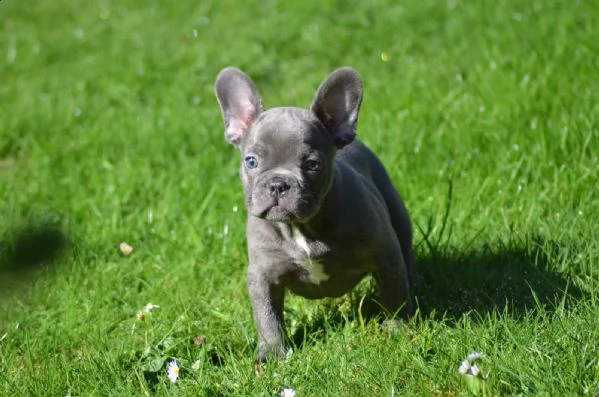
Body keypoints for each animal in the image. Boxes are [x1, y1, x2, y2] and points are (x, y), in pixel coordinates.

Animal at [216, 66, 418, 360]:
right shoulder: (263, 275)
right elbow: (267, 316)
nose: (278, 184)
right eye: (251, 161)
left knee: (406, 254)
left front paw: (397, 328)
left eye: (312, 164)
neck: (301, 227)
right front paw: (272, 353)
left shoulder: (385, 253)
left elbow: (393, 293)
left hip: (398, 214)